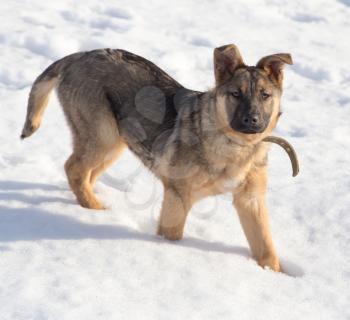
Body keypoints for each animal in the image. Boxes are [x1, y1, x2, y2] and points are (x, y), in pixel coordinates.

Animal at [21, 43, 292, 272]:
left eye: (265, 95)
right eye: (236, 94)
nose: (252, 120)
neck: (236, 146)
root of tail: (81, 55)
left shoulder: (250, 199)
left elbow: (266, 247)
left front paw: (275, 274)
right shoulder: (178, 196)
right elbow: (172, 235)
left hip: (116, 141)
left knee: (85, 172)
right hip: (102, 136)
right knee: (73, 168)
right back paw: (95, 210)